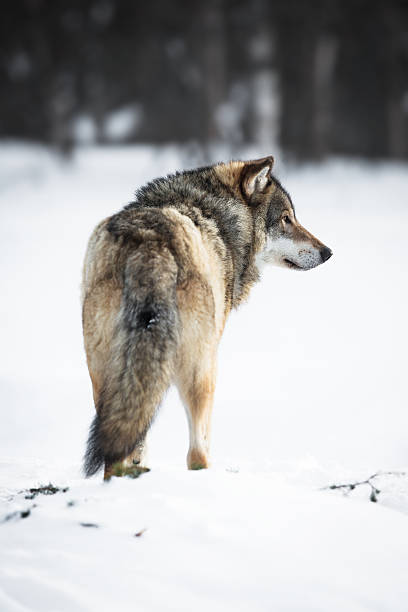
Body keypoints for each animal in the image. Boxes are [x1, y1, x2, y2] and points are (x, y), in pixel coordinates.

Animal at [80, 154, 332, 478]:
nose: (327, 252)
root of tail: (148, 241)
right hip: (202, 369)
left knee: (116, 450)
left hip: (105, 373)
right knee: (197, 453)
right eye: (286, 219)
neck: (221, 219)